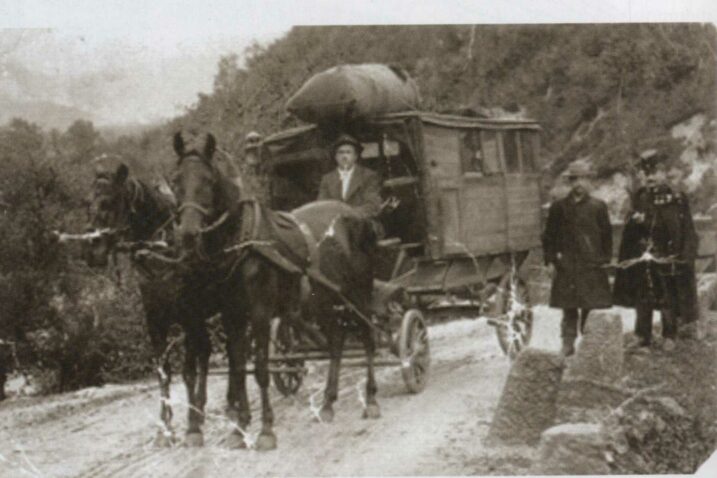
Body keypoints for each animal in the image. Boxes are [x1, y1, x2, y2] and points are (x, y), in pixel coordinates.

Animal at [84, 154, 218, 448]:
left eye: (109, 201)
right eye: (87, 202)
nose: (92, 252)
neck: (163, 250)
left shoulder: (188, 316)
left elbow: (187, 371)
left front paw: (192, 428)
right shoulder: (155, 319)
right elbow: (163, 371)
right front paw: (165, 430)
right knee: (206, 351)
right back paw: (200, 408)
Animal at [173, 133, 380, 450]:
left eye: (208, 180)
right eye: (176, 180)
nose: (188, 233)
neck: (243, 241)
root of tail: (355, 214)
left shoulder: (260, 312)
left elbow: (260, 369)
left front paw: (266, 430)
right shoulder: (232, 315)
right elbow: (237, 368)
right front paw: (239, 429)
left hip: (359, 292)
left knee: (368, 335)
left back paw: (370, 399)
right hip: (322, 301)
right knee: (336, 339)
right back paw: (328, 403)